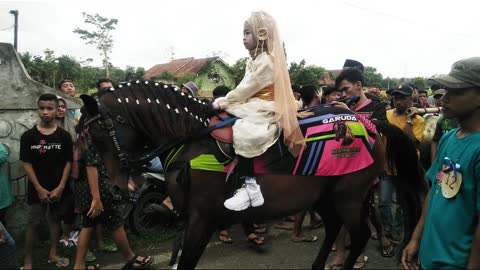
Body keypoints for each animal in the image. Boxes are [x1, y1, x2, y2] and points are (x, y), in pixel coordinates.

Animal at [79, 82, 428, 270]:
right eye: (83, 136)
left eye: (96, 134)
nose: (115, 190)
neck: (192, 140)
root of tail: (369, 123)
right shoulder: (189, 218)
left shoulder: (201, 219)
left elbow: (188, 260)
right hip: (326, 196)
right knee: (333, 228)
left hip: (349, 196)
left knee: (358, 235)